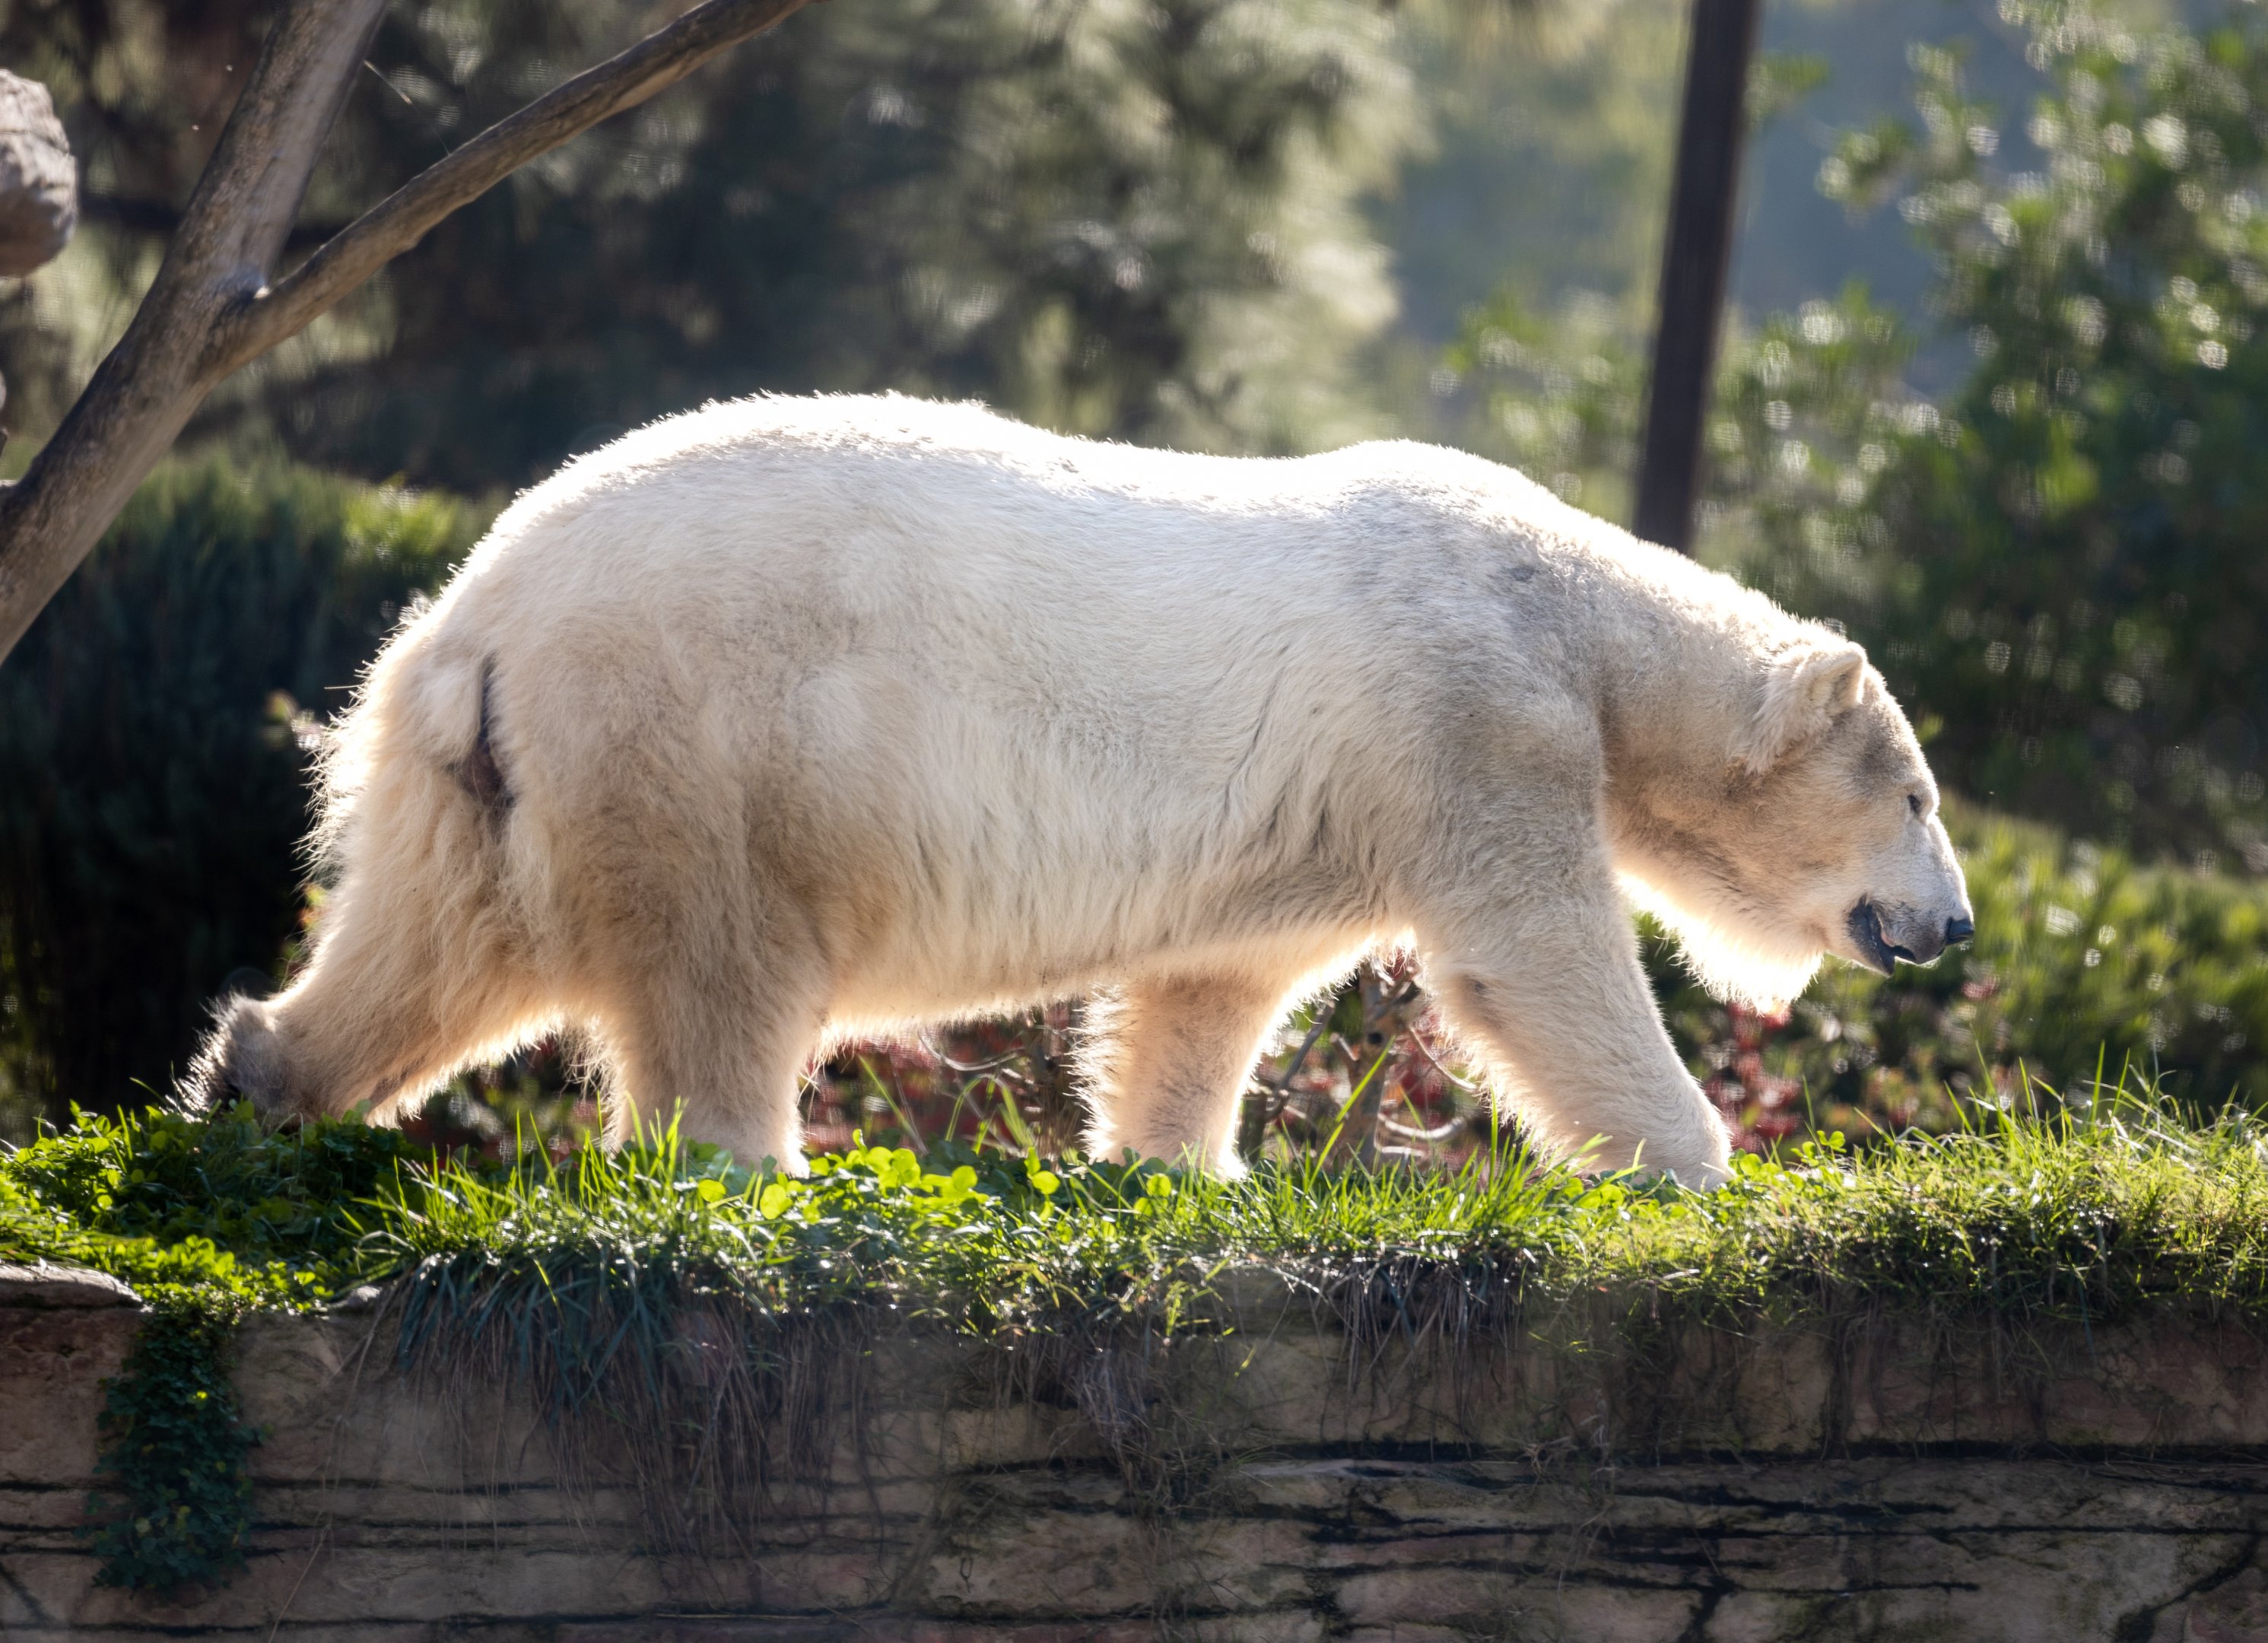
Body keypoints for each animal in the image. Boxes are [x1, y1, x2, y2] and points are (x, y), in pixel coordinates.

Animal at [188, 393, 1973, 1188]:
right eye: (1917, 798)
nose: (1953, 930)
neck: (1578, 617)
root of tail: (476, 620)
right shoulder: (1471, 717)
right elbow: (1534, 957)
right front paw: (1695, 1166)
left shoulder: (1320, 807)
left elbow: (1210, 989)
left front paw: (1181, 1169)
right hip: (705, 742)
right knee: (722, 975)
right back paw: (755, 1172)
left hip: (487, 781)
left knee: (430, 947)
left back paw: (257, 1085)